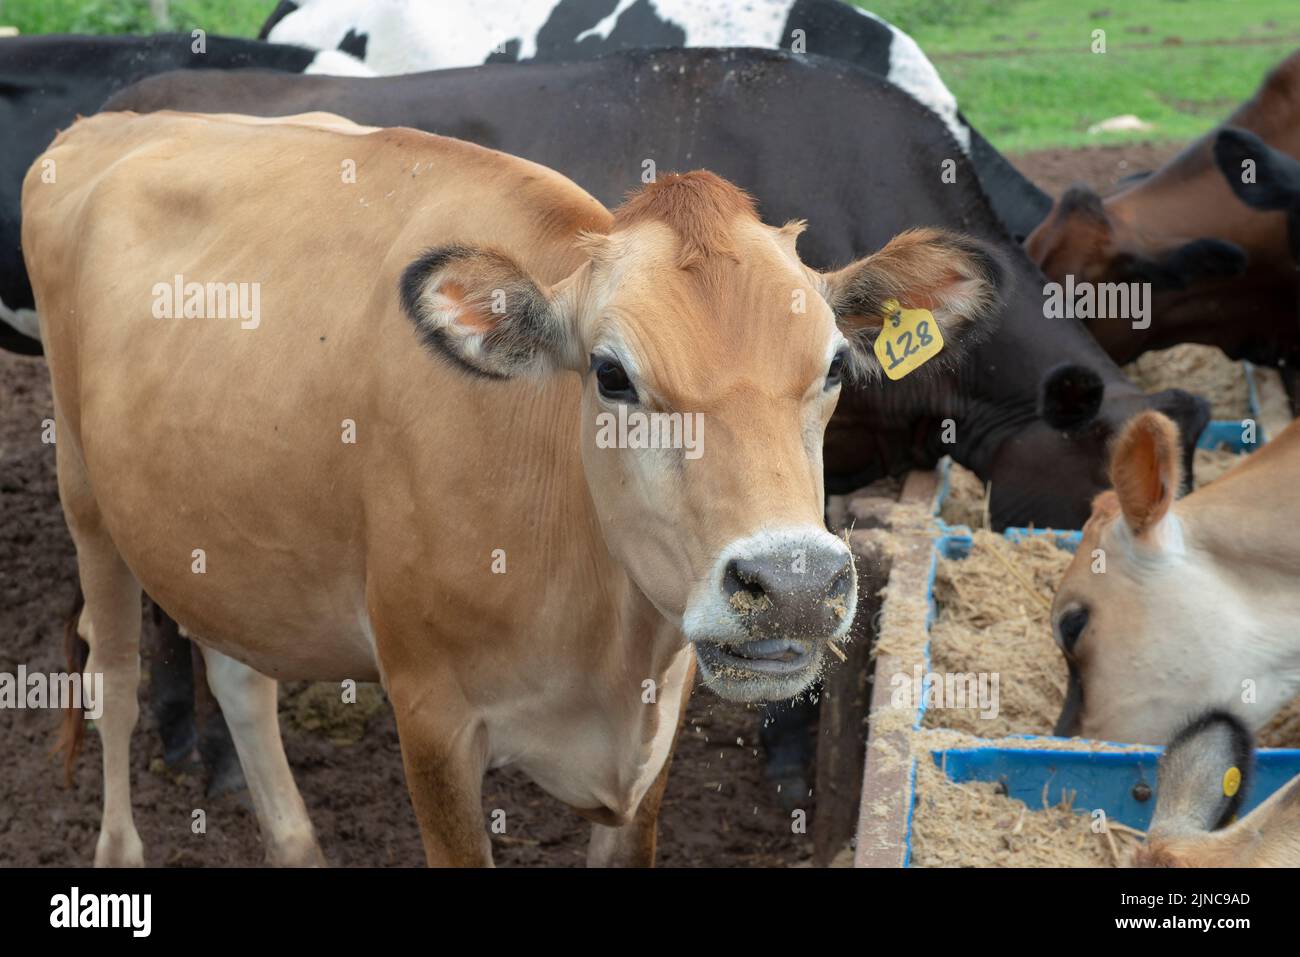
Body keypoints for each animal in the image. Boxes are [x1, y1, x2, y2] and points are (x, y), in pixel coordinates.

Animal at [24, 108, 1006, 865]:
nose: (796, 583)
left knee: (239, 674)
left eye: (834, 364)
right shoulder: (430, 717)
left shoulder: (656, 728)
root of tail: (103, 126)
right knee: (113, 677)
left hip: (229, 534)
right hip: (86, 499)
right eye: (610, 373)